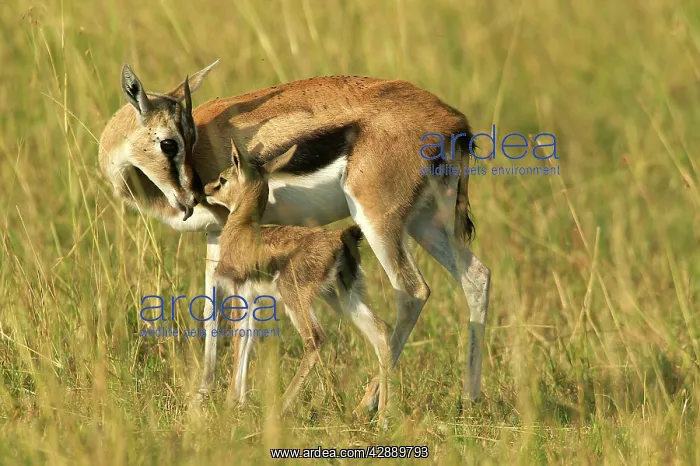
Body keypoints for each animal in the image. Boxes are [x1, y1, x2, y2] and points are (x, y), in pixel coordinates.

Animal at [203, 140, 392, 416]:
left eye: (223, 179)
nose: (206, 189)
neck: (242, 231)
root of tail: (341, 236)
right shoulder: (254, 299)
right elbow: (248, 339)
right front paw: (240, 404)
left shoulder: (238, 290)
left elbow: (239, 340)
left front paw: (230, 404)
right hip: (342, 296)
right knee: (381, 332)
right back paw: (382, 415)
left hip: (296, 298)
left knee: (316, 338)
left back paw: (280, 406)